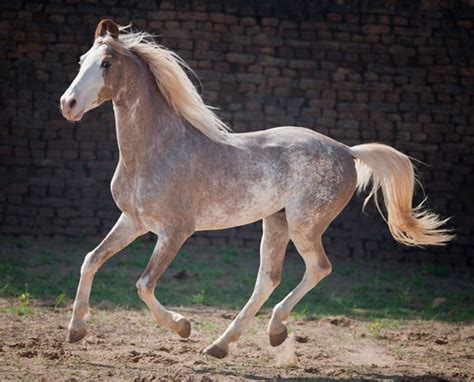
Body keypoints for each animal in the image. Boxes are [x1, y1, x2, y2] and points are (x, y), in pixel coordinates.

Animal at [58, 19, 452, 360]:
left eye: (106, 63)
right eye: (81, 61)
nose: (68, 104)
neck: (157, 150)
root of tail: (347, 150)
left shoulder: (175, 231)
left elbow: (143, 284)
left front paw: (183, 327)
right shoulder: (133, 221)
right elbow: (90, 260)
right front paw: (76, 331)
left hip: (304, 225)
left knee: (318, 268)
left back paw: (274, 331)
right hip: (276, 222)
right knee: (268, 278)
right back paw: (221, 345)